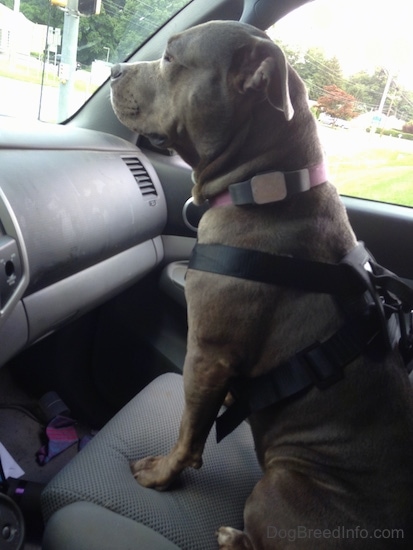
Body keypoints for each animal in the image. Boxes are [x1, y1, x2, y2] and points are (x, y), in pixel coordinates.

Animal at [109, 20, 412, 550]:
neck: (267, 185)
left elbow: (189, 432)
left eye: (170, 57)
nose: (112, 70)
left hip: (277, 485)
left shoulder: (206, 354)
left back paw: (232, 536)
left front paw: (162, 473)